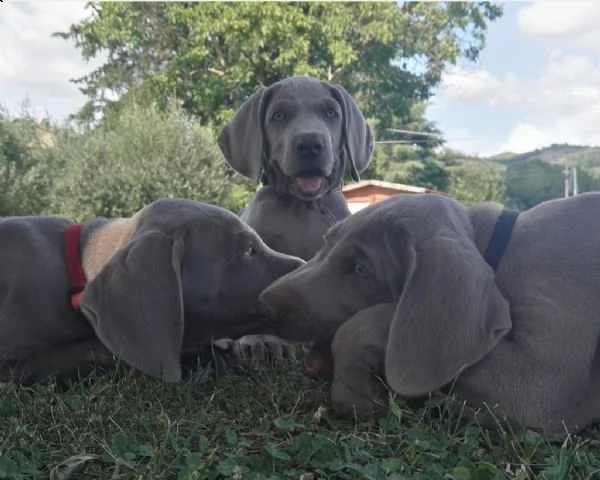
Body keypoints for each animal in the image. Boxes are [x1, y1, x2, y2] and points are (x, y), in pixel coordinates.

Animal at [262, 192, 600, 438]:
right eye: (325, 242)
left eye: (361, 269)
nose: (263, 303)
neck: (497, 250)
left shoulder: (542, 382)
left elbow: (368, 325)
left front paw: (357, 395)